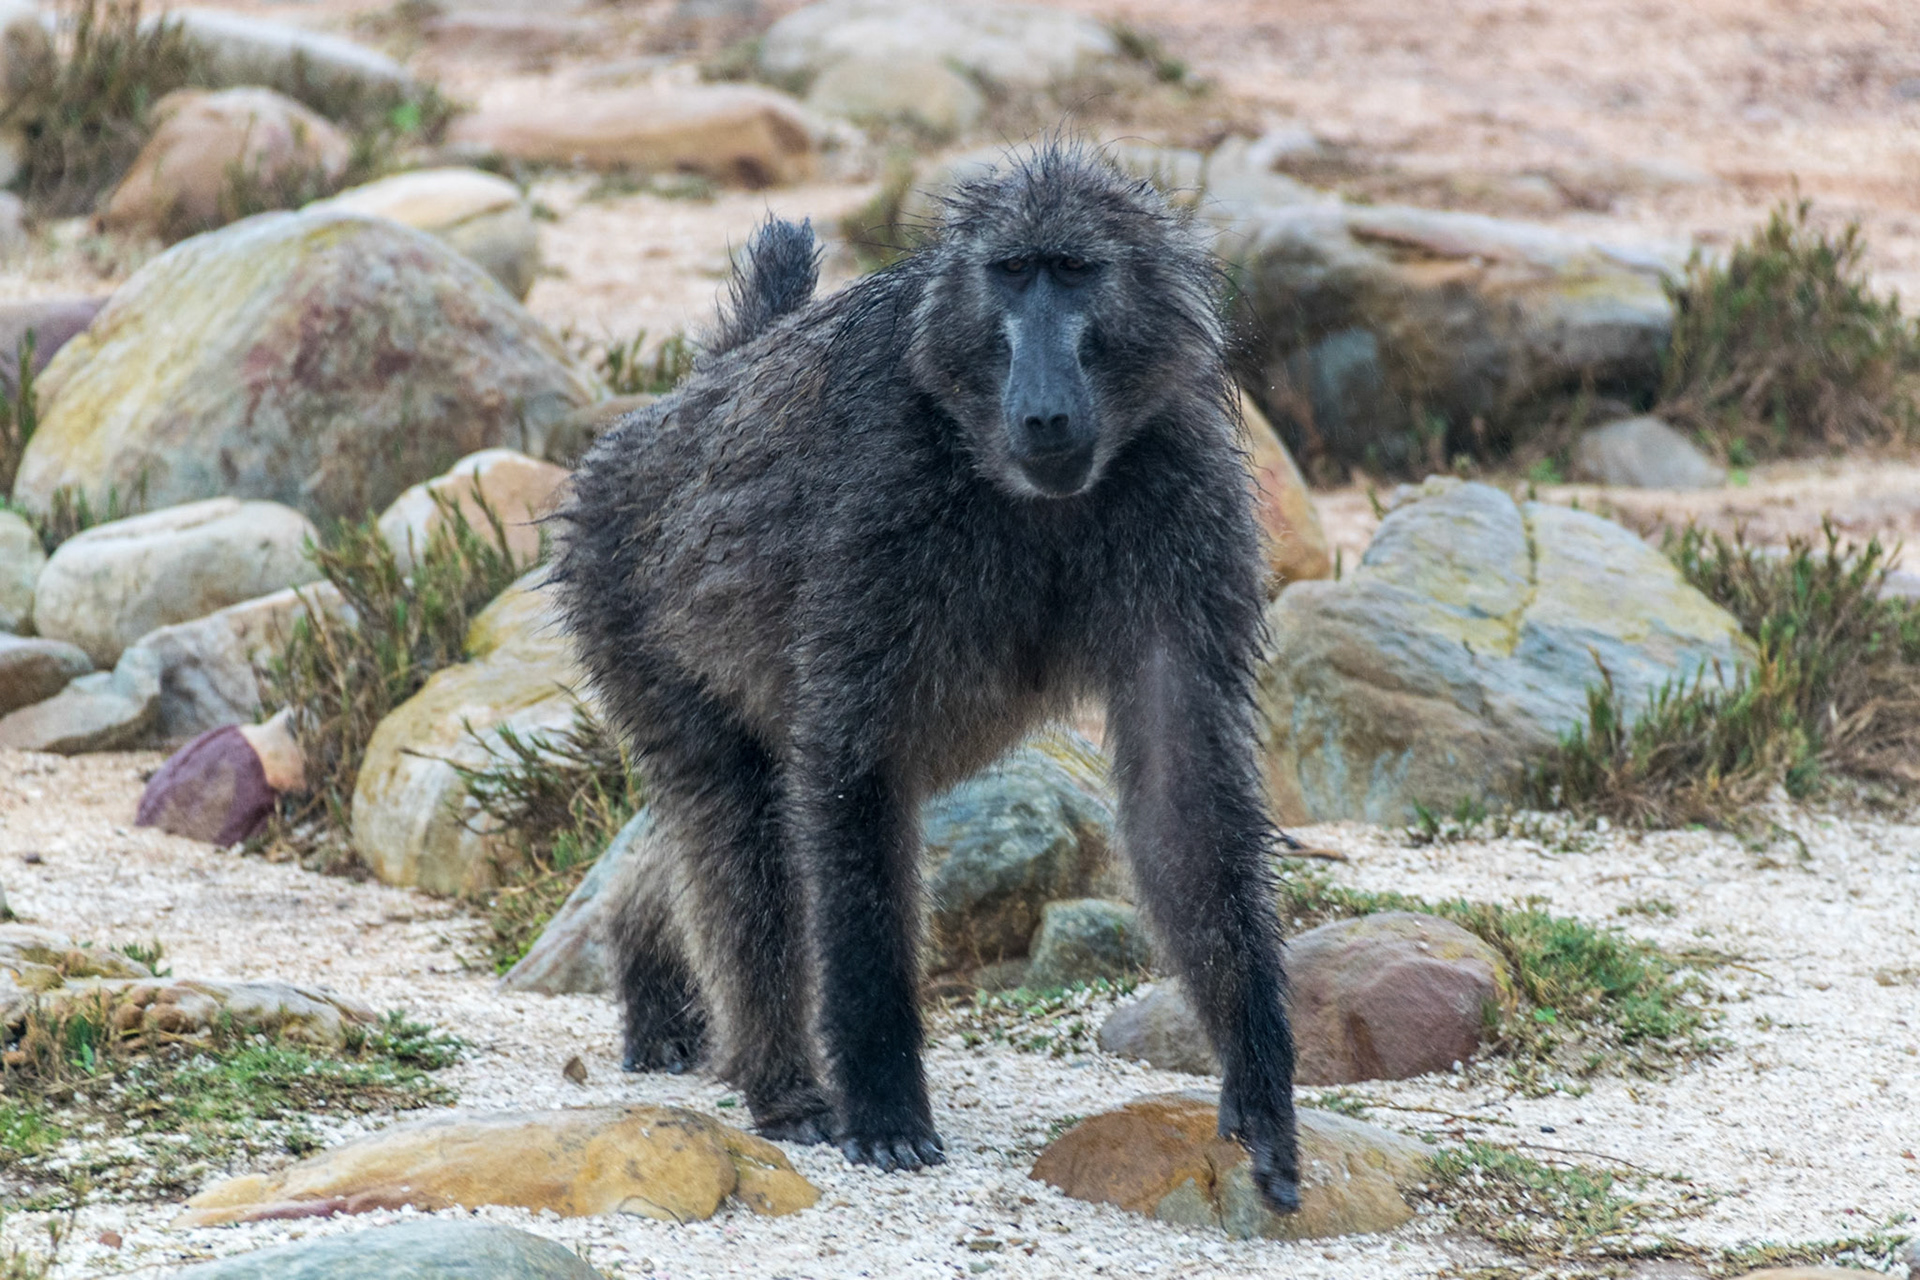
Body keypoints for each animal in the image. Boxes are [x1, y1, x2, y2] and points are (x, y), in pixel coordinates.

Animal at [550, 142, 1301, 1213]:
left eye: (1075, 273)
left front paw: (1260, 1088)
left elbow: (1179, 784)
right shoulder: (884, 496)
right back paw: (781, 1085)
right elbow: (851, 765)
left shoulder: (1186, 491)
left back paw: (653, 970)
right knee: (743, 824)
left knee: (726, 830)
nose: (1043, 407)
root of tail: (683, 404)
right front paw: (886, 1107)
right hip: (622, 599)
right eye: (1012, 274)